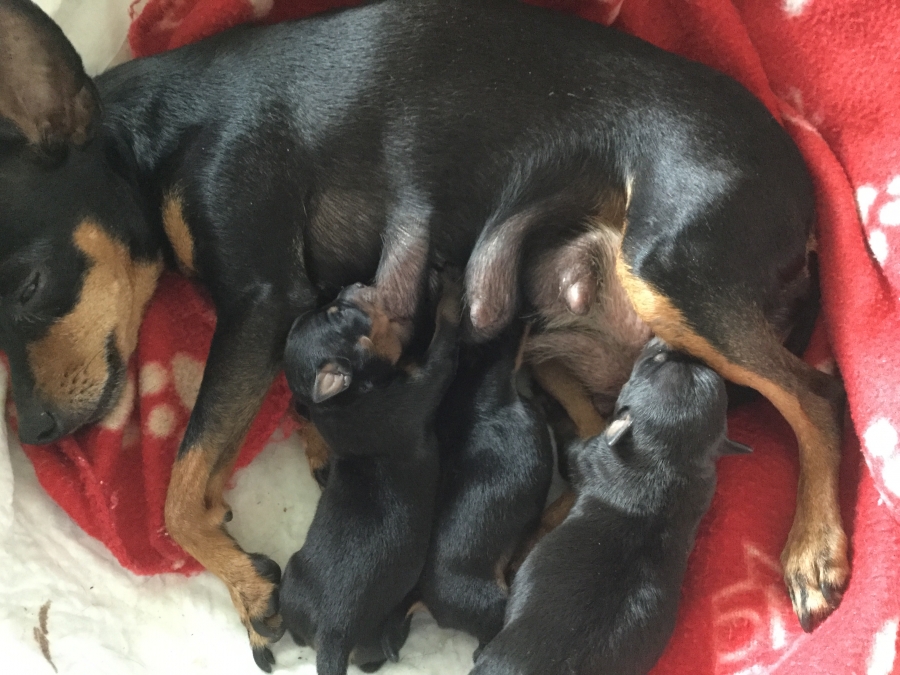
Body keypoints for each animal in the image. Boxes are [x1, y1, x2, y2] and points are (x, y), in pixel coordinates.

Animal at [279, 280, 458, 675]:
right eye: (338, 314)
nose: (354, 284)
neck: (341, 402)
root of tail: (335, 632)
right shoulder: (424, 382)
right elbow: (444, 341)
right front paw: (451, 293)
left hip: (294, 583)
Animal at [471, 338, 751, 675]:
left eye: (654, 360)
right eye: (666, 358)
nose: (666, 340)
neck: (669, 461)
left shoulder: (584, 454)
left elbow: (567, 439)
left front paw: (549, 405)